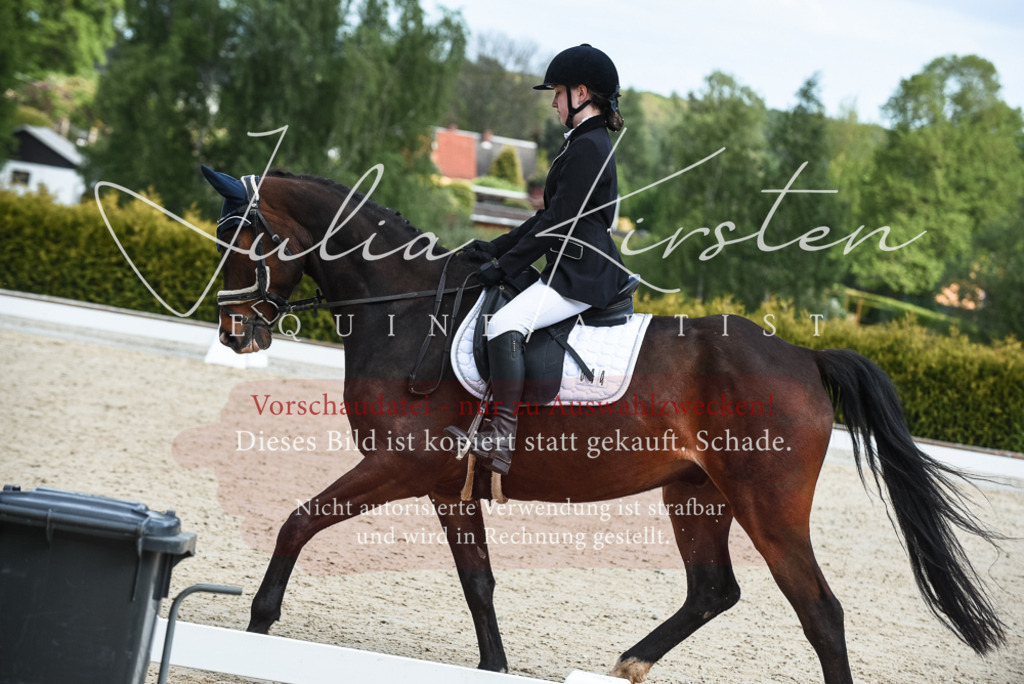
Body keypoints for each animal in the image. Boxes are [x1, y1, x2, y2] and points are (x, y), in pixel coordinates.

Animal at [202, 166, 1004, 683]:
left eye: (245, 242)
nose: (236, 334)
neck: (405, 310)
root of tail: (803, 355)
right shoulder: (447, 486)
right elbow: (478, 582)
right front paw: (494, 666)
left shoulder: (401, 466)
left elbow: (298, 522)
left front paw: (260, 623)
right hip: (696, 494)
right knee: (713, 591)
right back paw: (628, 663)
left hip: (766, 505)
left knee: (820, 613)